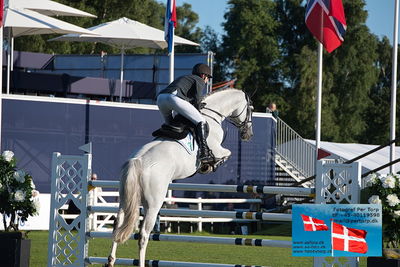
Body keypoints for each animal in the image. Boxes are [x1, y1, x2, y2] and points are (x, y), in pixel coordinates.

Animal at [105, 88, 253, 267]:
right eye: (250, 109)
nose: (248, 134)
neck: (212, 114)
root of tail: (137, 161)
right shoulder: (218, 149)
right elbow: (226, 154)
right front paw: (209, 165)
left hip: (124, 198)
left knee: (117, 223)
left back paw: (111, 260)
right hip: (153, 204)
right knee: (143, 235)